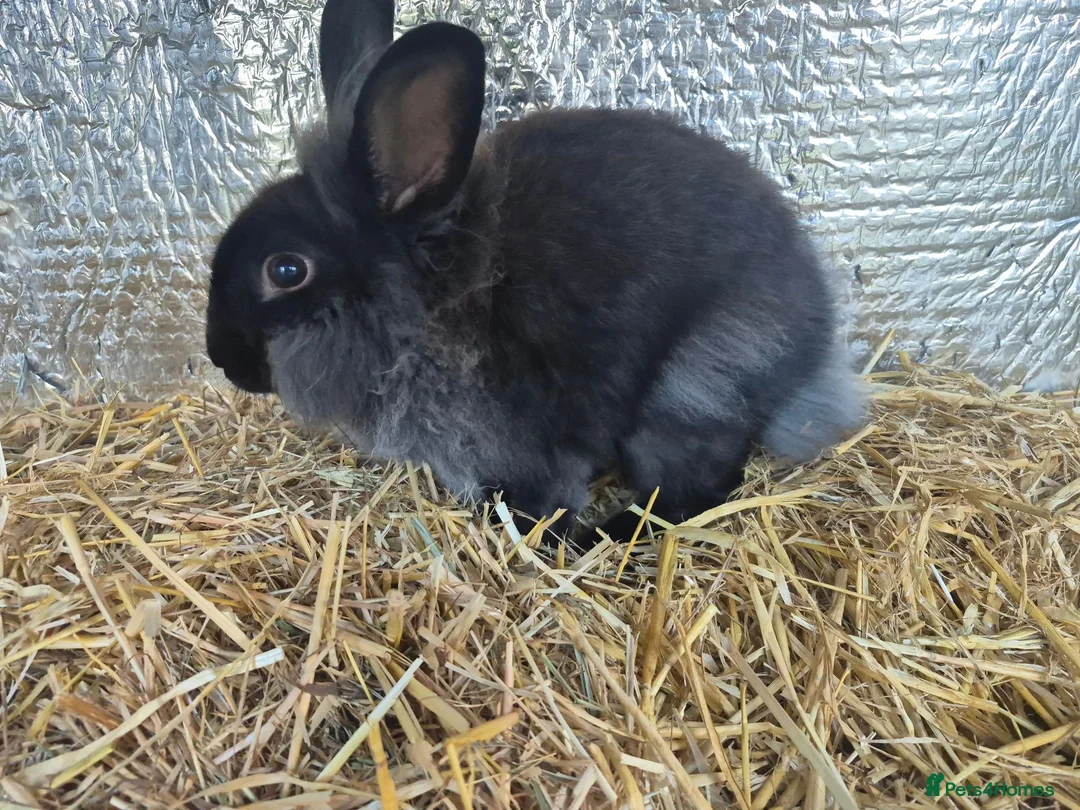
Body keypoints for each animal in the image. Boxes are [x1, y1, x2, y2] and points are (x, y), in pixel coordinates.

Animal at [205, 0, 868, 547]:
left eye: (286, 269)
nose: (221, 360)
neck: (426, 308)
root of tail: (813, 355)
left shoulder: (524, 447)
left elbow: (544, 501)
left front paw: (536, 535)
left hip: (692, 387)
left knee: (694, 488)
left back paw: (609, 538)